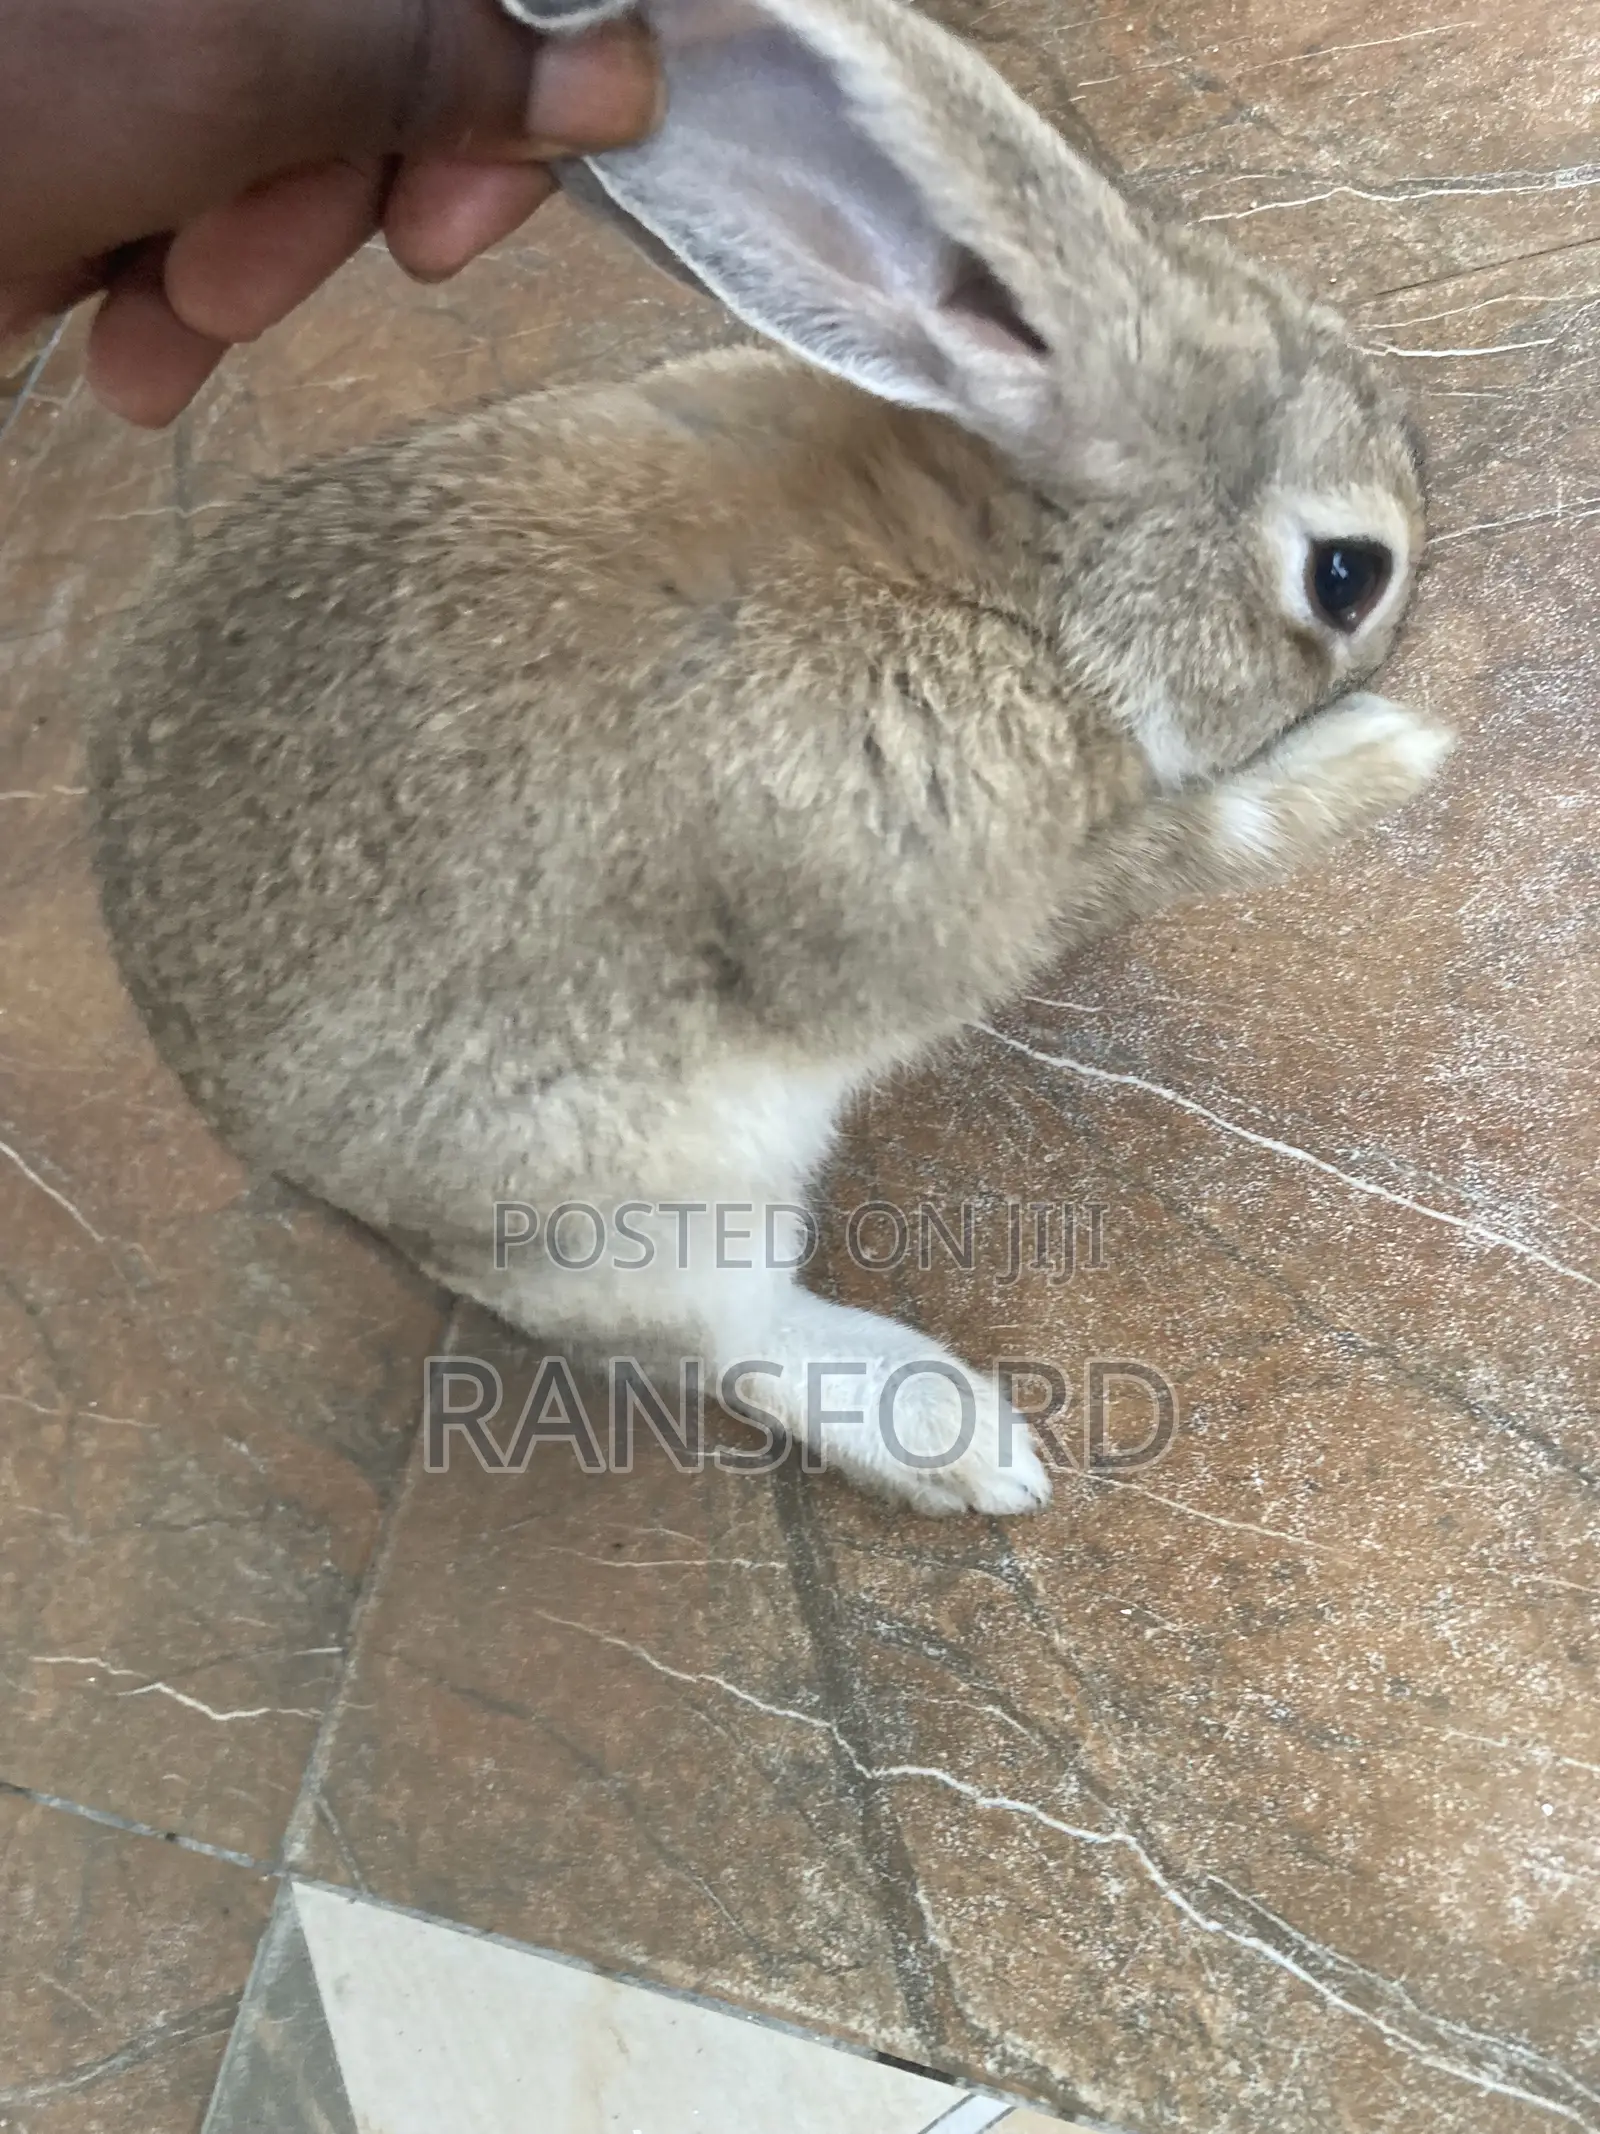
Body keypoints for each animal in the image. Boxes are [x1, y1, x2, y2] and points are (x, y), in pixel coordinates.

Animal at [86, 0, 1453, 1518]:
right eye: (1348, 574)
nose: (1394, 649)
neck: (1007, 585)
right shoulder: (934, 889)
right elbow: (1158, 856)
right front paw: (1384, 759)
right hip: (651, 1195)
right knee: (719, 1343)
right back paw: (958, 1443)